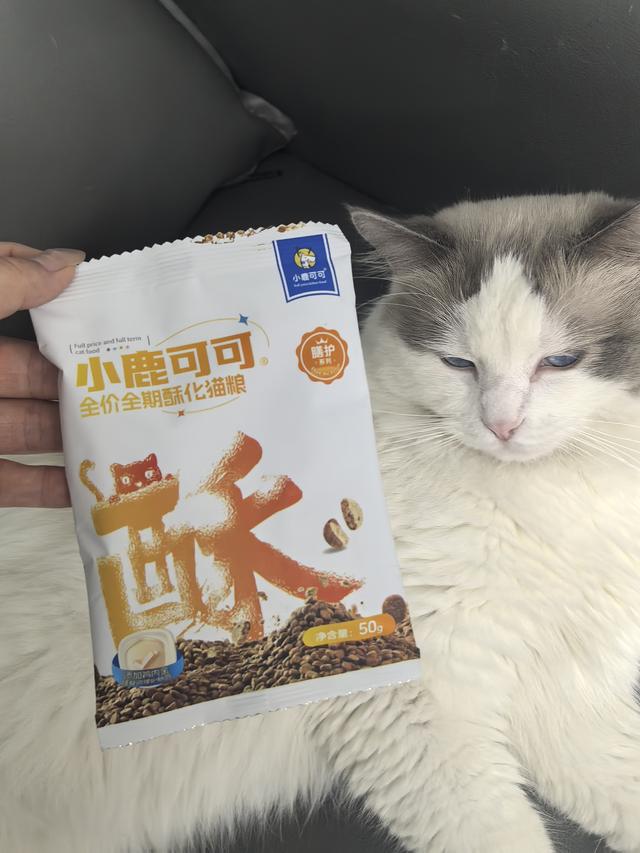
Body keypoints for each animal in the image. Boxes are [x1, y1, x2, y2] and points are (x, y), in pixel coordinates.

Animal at [79, 453, 175, 604]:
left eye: (148, 473)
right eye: (125, 480)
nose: (139, 484)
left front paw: (169, 477)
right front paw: (113, 498)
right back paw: (145, 597)